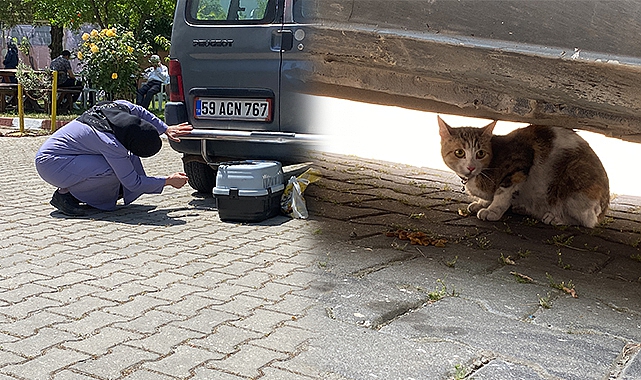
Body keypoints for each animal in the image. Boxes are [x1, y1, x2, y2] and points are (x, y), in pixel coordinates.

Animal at [436, 116, 608, 227]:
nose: (471, 167)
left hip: (573, 178)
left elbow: (502, 194)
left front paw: (492, 210)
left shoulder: (519, 164)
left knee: (586, 221)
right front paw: (482, 203)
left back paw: (556, 218)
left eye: (480, 153)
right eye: (459, 152)